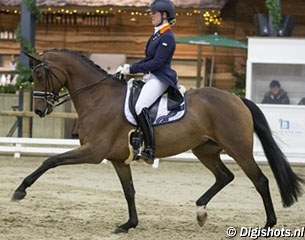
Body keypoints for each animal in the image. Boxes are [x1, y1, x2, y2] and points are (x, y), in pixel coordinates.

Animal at [11, 49, 302, 233]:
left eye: (39, 75)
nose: (39, 110)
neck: (98, 98)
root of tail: (237, 99)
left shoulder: (93, 152)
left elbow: (51, 160)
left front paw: (20, 190)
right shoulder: (117, 159)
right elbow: (129, 191)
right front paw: (129, 224)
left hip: (238, 148)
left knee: (260, 180)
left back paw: (268, 224)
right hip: (205, 150)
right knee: (224, 176)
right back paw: (200, 211)